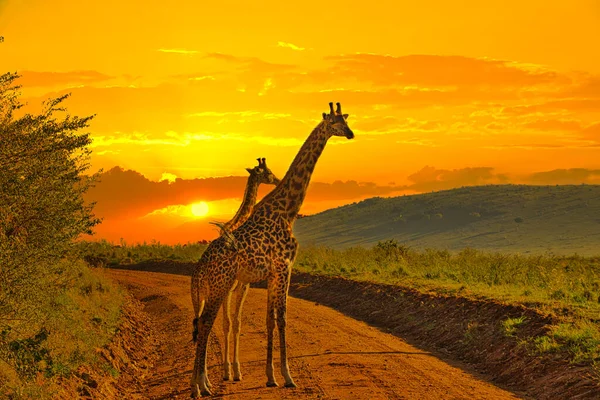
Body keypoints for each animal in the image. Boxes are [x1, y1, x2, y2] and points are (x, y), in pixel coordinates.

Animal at [190, 103, 354, 396]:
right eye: (334, 123)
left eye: (346, 120)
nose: (350, 134)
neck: (289, 210)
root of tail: (203, 264)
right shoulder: (284, 267)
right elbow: (282, 319)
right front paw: (287, 376)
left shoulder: (271, 274)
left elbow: (269, 319)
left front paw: (270, 376)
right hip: (221, 284)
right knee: (206, 323)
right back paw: (202, 385)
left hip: (220, 286)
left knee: (204, 323)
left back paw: (201, 384)